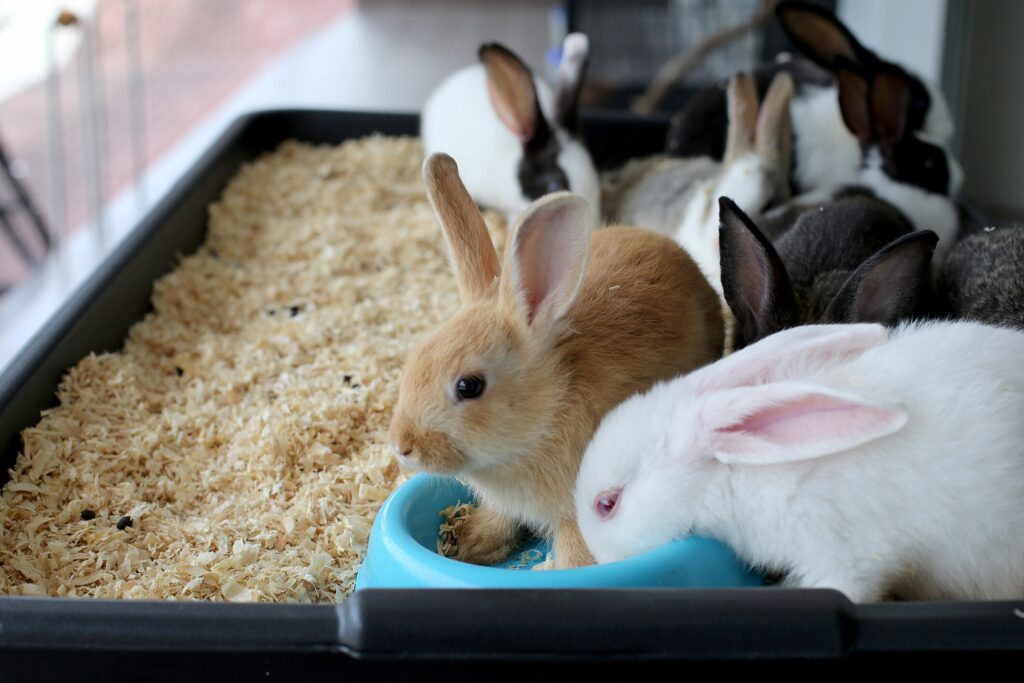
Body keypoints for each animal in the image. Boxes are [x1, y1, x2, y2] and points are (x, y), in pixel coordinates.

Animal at [388, 153, 723, 569]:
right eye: (414, 357)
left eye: (469, 386)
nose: (402, 446)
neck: (545, 414)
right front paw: (473, 542)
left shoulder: (577, 511)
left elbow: (575, 549)